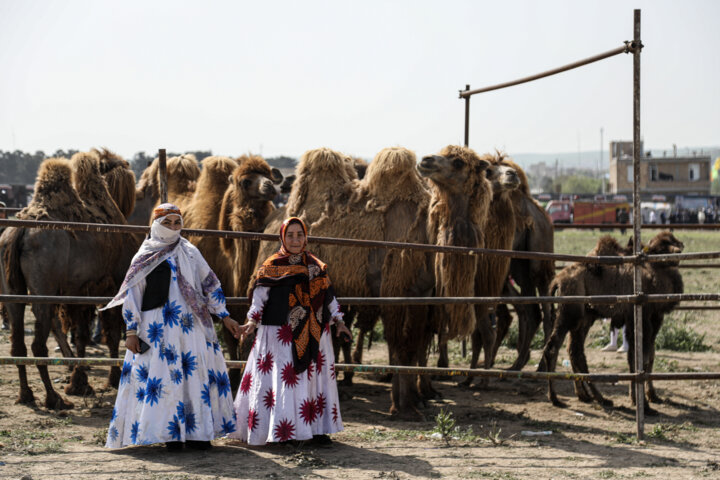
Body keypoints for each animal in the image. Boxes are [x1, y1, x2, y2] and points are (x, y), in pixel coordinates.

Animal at [0, 150, 138, 408]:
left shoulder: (79, 292)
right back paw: (54, 398)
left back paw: (27, 395)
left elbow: (82, 335)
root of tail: (18, 232)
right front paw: (112, 378)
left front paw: (80, 382)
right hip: (43, 291)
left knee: (18, 342)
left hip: (13, 291)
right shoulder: (111, 288)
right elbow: (112, 334)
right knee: (38, 344)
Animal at [536, 231, 684, 410]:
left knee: (575, 350)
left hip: (585, 317)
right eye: (660, 248)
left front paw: (653, 396)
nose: (678, 251)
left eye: (674, 242)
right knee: (554, 347)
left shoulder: (655, 317)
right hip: (569, 313)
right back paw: (555, 398)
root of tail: (557, 280)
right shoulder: (638, 318)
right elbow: (638, 357)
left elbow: (650, 355)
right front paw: (641, 403)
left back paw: (592, 397)